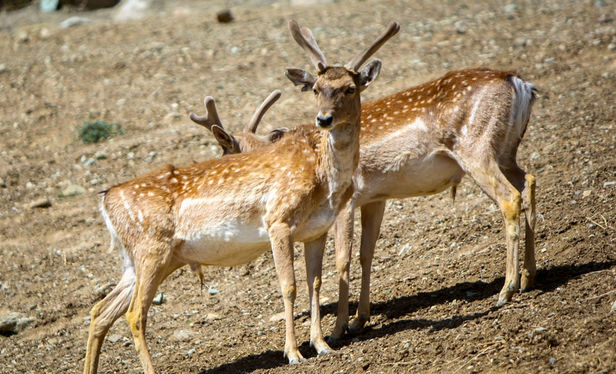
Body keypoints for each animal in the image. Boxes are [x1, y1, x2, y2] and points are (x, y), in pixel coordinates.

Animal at [82, 21, 400, 374]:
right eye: (316, 89)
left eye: (350, 88)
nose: (324, 119)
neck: (321, 177)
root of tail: (106, 199)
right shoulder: (278, 220)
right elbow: (288, 286)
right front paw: (293, 352)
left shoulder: (316, 230)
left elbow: (313, 283)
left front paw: (321, 345)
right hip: (152, 250)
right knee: (135, 314)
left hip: (138, 260)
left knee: (100, 311)